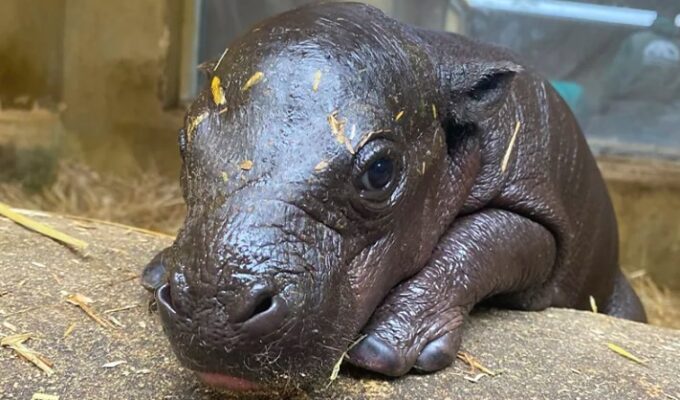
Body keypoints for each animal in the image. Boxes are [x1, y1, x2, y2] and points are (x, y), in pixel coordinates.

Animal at [141, 1, 646, 394]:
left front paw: (383, 348)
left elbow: (484, 238)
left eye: (381, 171)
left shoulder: (536, 210)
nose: (213, 306)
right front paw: (157, 269)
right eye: (185, 143)